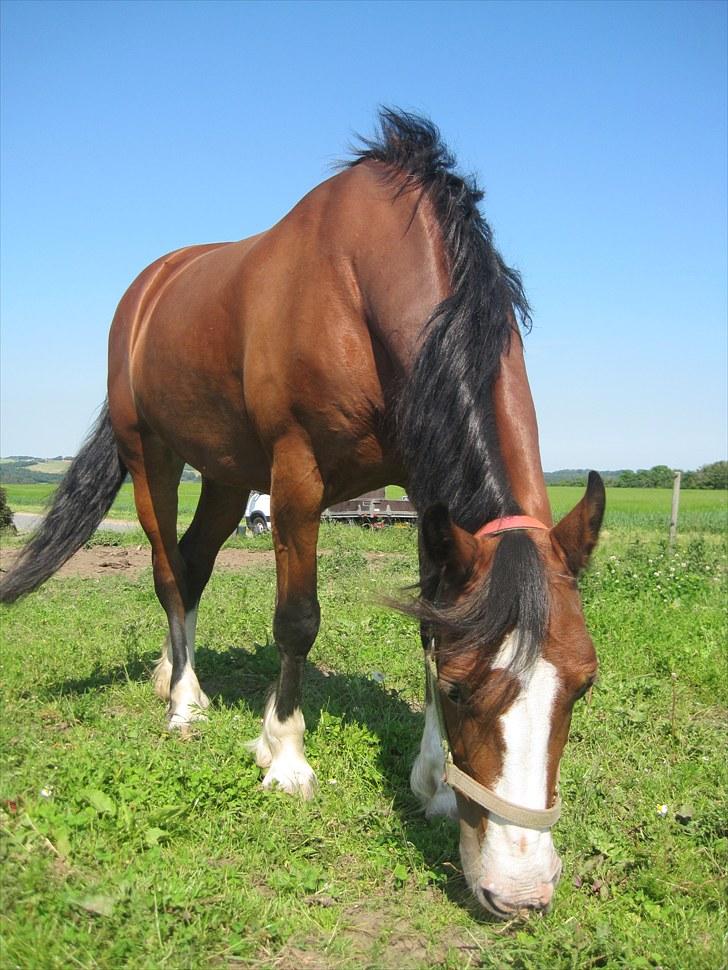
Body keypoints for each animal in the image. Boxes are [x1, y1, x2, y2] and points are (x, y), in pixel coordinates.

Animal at [0, 111, 604, 916]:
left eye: (583, 683)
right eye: (460, 689)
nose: (520, 892)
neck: (362, 280)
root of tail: (149, 287)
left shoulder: (425, 493)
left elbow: (431, 624)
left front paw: (434, 784)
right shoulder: (296, 475)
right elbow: (297, 621)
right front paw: (283, 756)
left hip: (226, 474)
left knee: (193, 566)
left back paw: (172, 674)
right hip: (151, 456)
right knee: (167, 571)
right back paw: (184, 706)